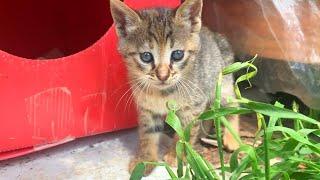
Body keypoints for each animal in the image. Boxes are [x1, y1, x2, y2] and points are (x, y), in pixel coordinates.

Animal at [110, 0, 238, 174]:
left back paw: (233, 139)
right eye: (146, 56)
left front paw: (178, 155)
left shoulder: (192, 107)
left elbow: (185, 132)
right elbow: (148, 134)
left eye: (177, 54)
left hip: (221, 87)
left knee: (233, 105)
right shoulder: (147, 109)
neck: (162, 92)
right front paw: (145, 159)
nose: (163, 76)